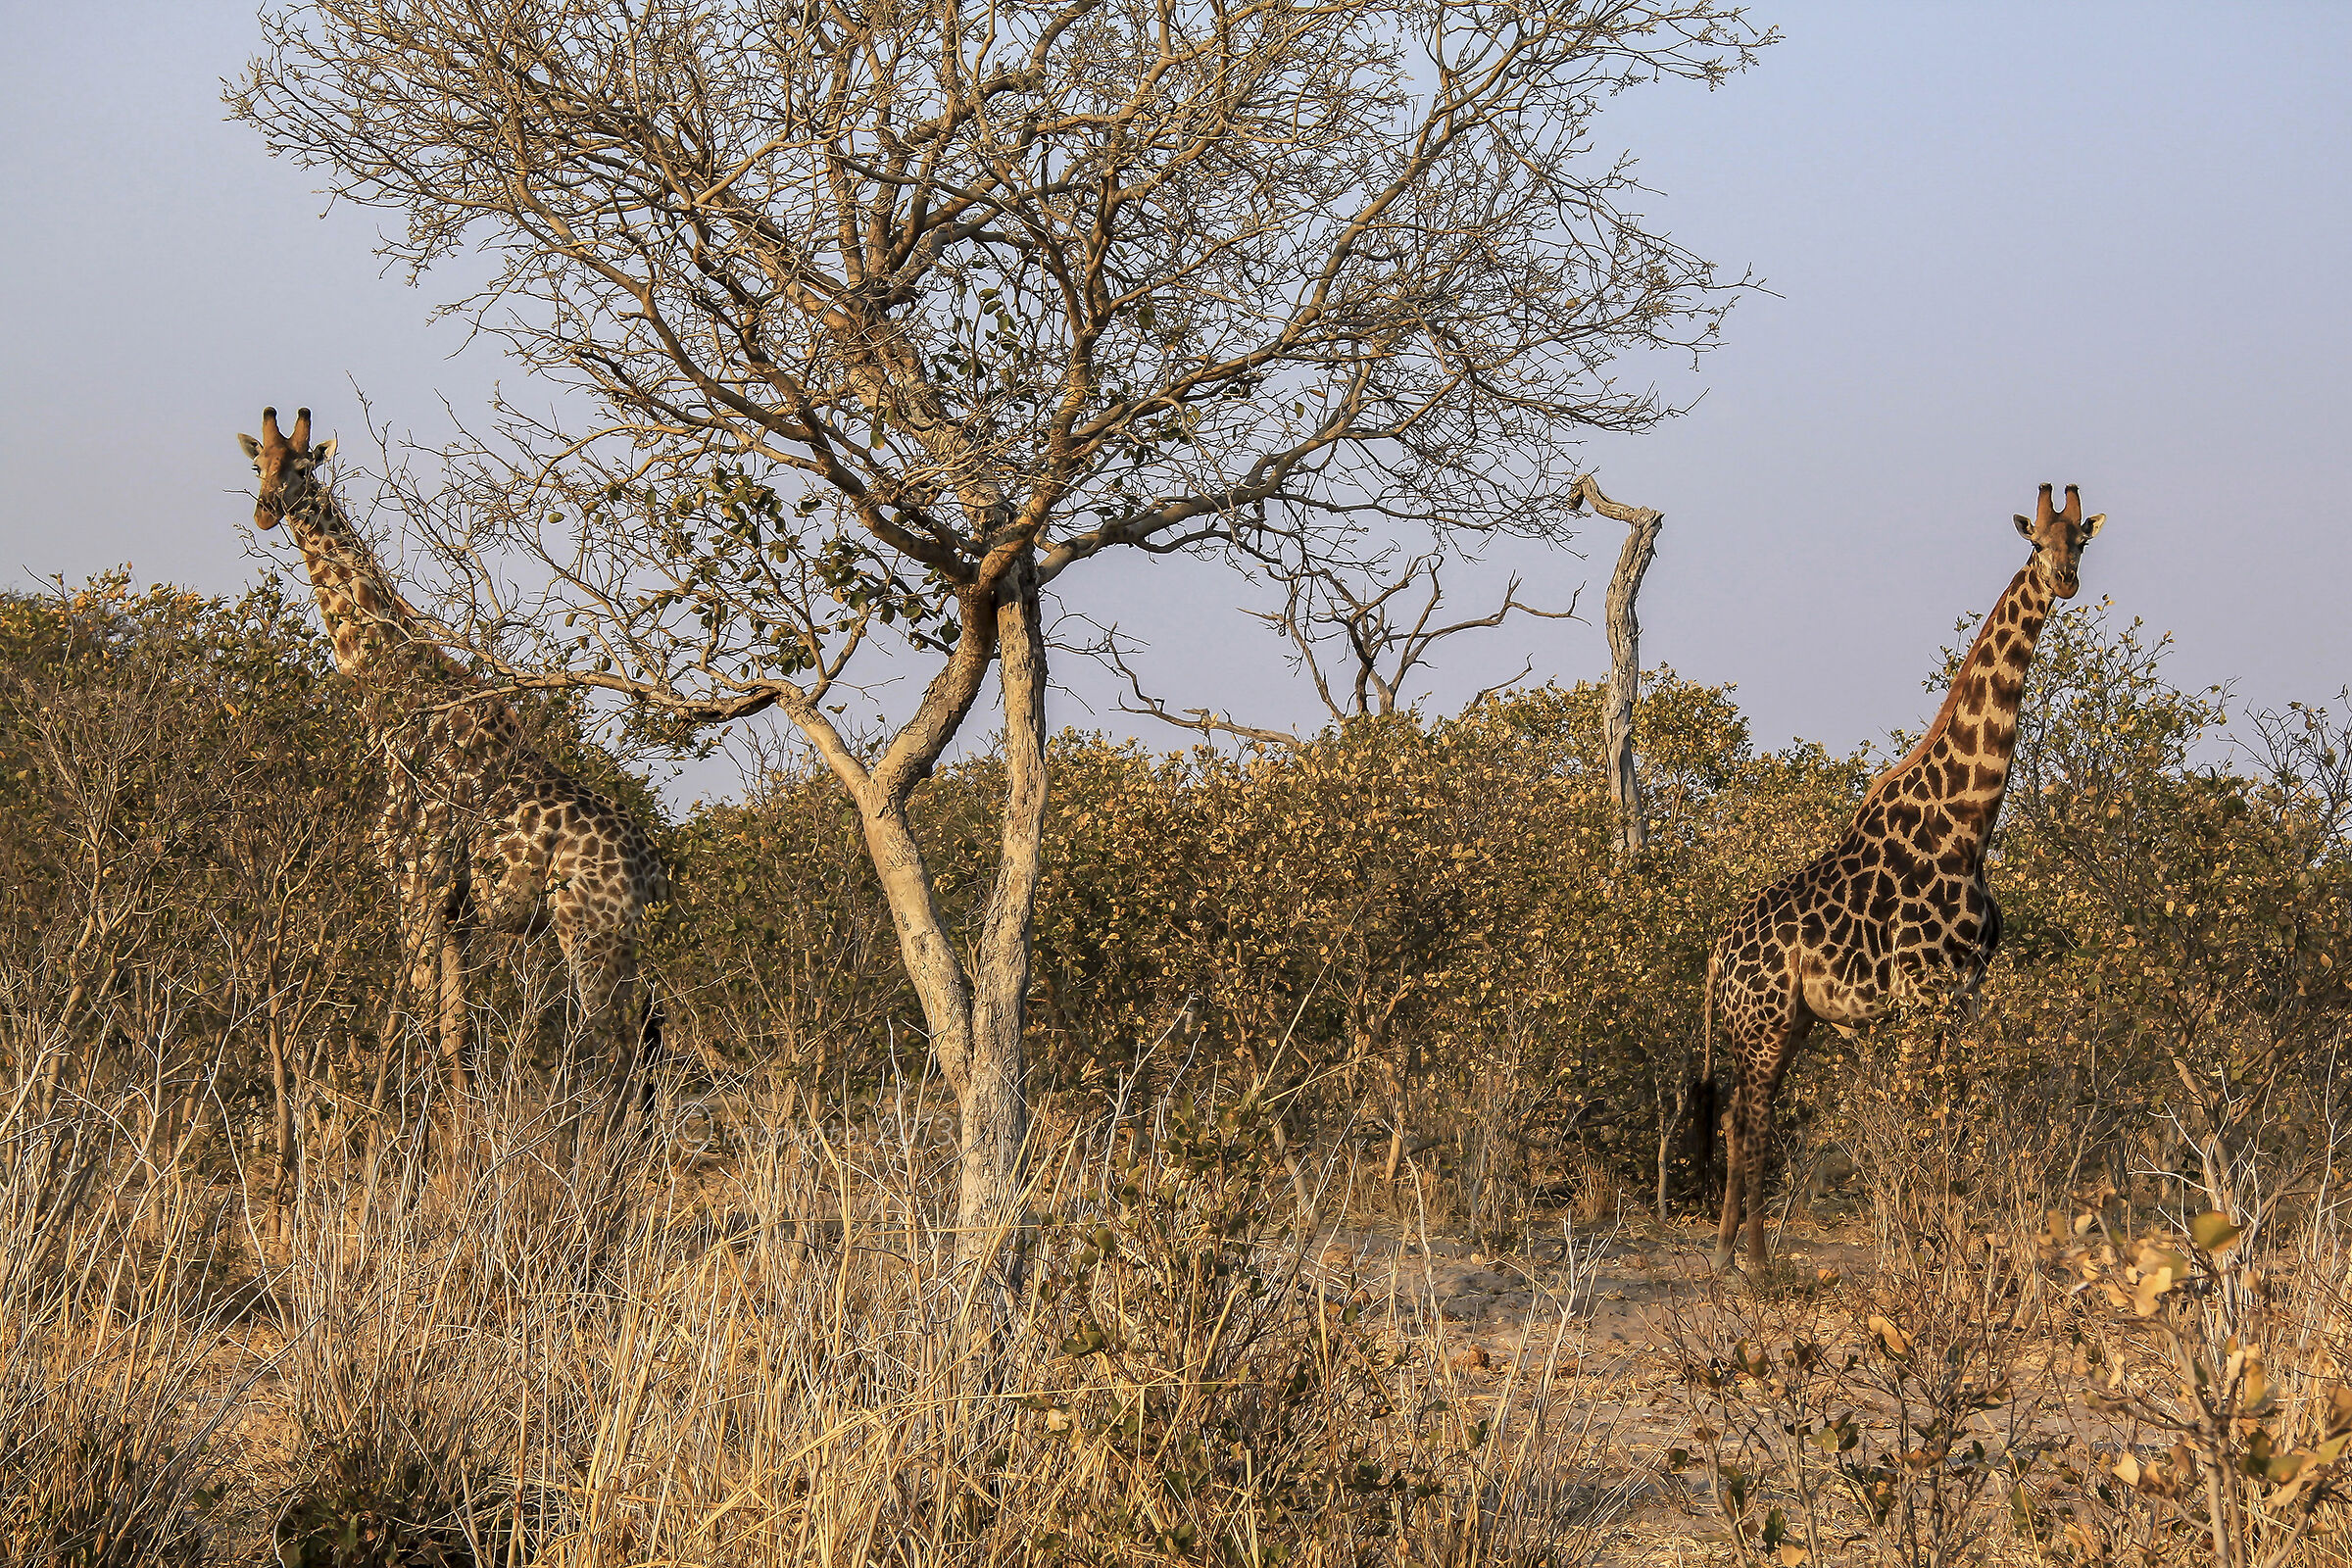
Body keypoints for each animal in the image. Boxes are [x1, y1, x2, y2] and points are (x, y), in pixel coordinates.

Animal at [236, 406, 669, 1106]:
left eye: (303, 467)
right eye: (258, 467)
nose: (267, 511)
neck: (395, 708)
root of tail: (654, 869)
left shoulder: (417, 882)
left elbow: (413, 1021)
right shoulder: (455, 912)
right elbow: (454, 1031)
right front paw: (456, 1134)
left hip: (590, 932)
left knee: (615, 1053)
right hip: (625, 943)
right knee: (644, 1048)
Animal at [1706, 482, 2105, 1273]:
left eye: (2081, 542)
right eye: (2035, 542)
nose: (2065, 581)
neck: (1967, 826)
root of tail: (1717, 953)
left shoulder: (1961, 996)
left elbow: (1953, 1120)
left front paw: (1951, 1241)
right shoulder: (1921, 996)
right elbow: (1925, 1121)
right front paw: (1926, 1248)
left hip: (1787, 1022)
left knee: (1739, 1116)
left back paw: (1731, 1248)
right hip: (1762, 1021)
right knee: (1755, 1118)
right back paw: (1757, 1262)